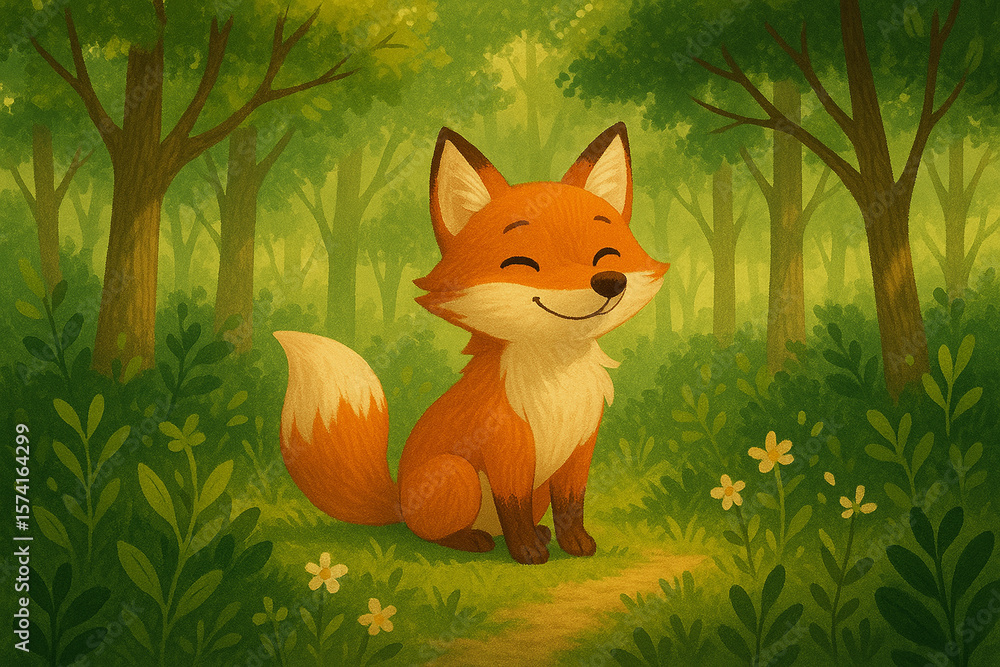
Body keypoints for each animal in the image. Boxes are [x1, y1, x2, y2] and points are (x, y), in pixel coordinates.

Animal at [274, 123, 669, 564]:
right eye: (523, 264)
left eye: (607, 255)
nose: (611, 282)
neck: (556, 381)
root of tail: (398, 500)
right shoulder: (507, 450)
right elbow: (513, 508)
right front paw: (527, 553)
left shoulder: (579, 449)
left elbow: (572, 504)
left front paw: (575, 544)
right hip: (457, 474)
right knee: (430, 534)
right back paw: (473, 541)